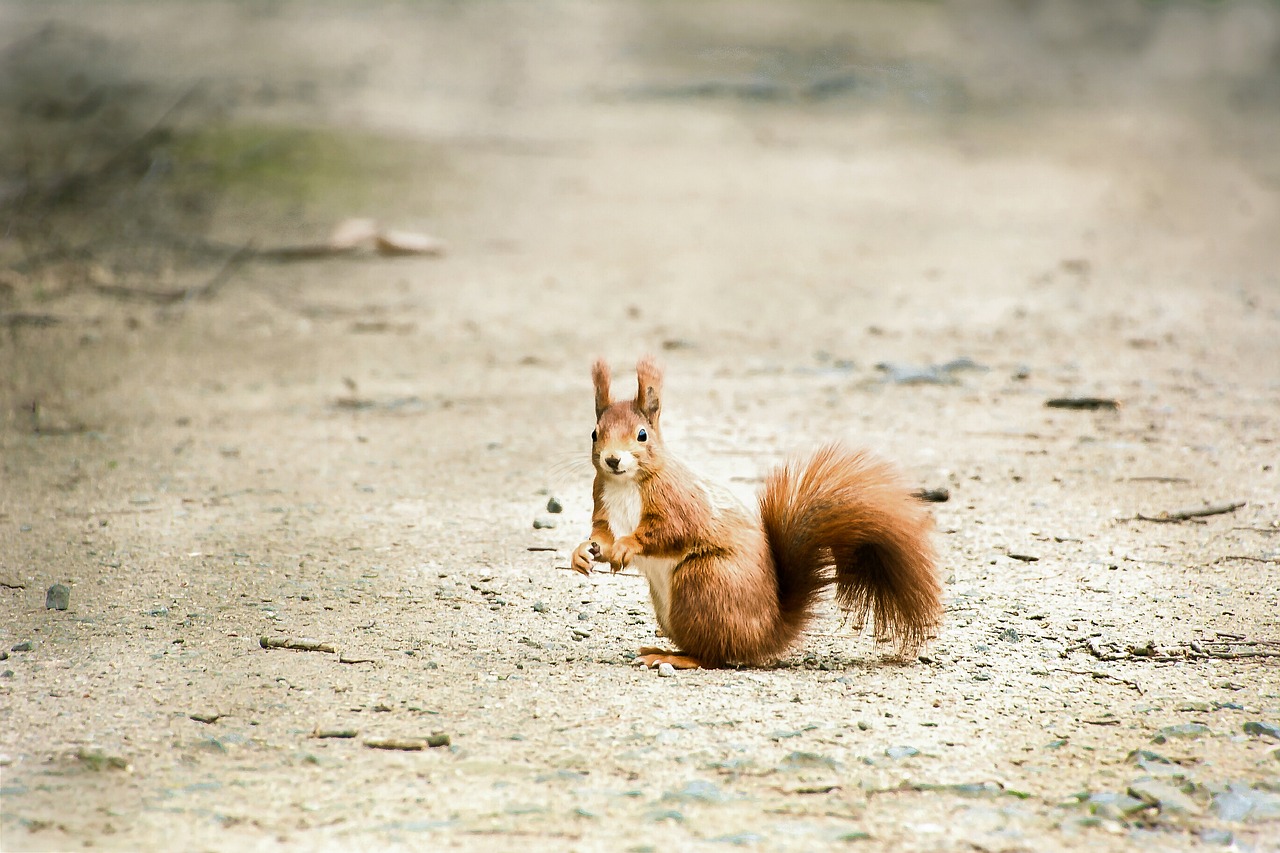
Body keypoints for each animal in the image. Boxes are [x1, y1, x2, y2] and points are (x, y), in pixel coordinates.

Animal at [570, 356, 942, 666]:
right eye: (594, 434)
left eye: (642, 435)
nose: (613, 460)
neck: (625, 484)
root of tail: (766, 634)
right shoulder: (603, 503)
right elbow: (600, 533)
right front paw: (583, 553)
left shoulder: (678, 501)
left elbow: (671, 531)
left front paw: (627, 545)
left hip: (704, 583)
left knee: (714, 656)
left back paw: (675, 658)